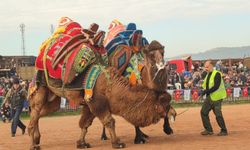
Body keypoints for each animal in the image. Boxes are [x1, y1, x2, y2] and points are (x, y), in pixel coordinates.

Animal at [27, 40, 176, 149]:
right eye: (166, 102)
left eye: (162, 52)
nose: (174, 113)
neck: (110, 85)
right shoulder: (96, 101)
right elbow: (109, 121)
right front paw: (117, 142)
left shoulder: (88, 104)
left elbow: (85, 124)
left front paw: (82, 143)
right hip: (40, 88)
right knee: (35, 111)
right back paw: (33, 144)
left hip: (53, 99)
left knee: (41, 113)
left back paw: (37, 138)